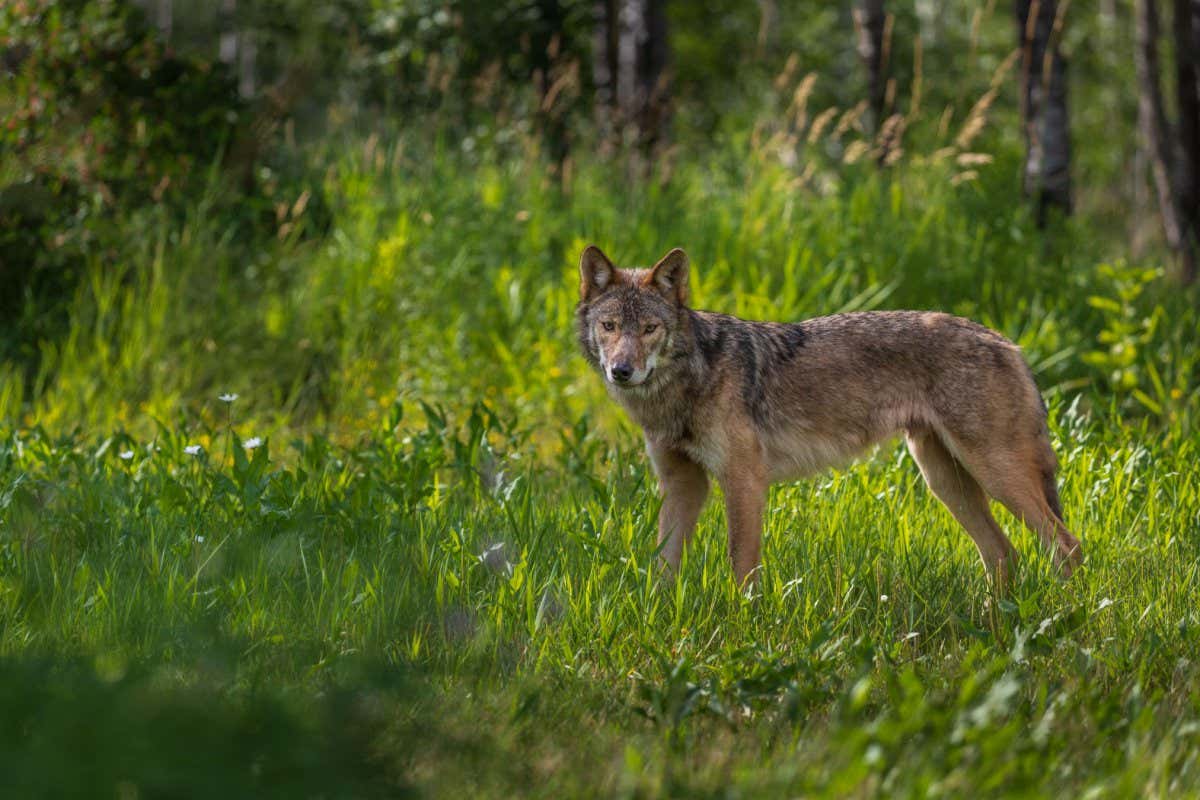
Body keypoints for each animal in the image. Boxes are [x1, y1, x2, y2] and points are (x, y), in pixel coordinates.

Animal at [575, 245, 1082, 586]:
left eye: (649, 328)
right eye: (610, 327)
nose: (622, 371)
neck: (686, 383)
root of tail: (1009, 343)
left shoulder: (744, 480)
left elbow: (740, 564)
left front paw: (740, 625)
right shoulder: (682, 484)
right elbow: (663, 566)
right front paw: (661, 621)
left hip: (994, 475)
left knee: (1067, 547)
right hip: (944, 480)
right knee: (1004, 554)